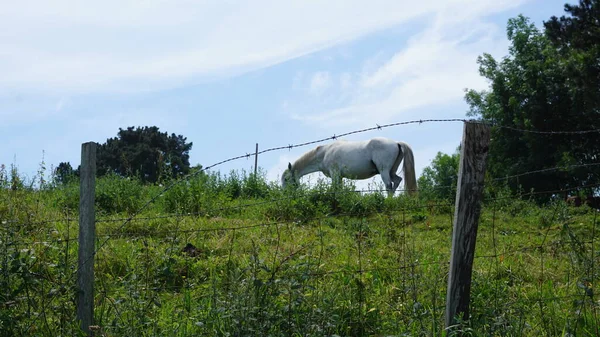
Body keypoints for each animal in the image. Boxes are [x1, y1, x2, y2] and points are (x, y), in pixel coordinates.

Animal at [282, 136, 418, 196]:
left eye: (286, 179)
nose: (284, 194)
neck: (324, 153)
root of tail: (396, 143)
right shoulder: (339, 177)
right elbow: (340, 189)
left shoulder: (335, 174)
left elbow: (336, 189)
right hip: (391, 171)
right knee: (397, 181)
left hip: (384, 171)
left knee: (389, 186)